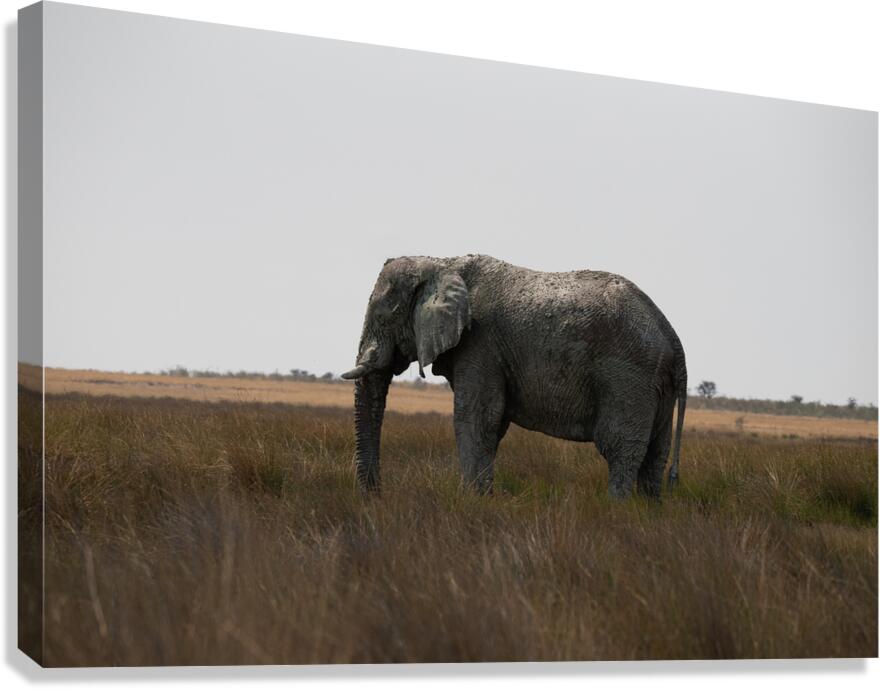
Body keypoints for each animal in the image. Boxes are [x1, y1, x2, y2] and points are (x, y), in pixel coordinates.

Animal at [342, 254, 687, 499]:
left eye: (384, 315)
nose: (377, 496)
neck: (442, 263)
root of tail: (671, 335)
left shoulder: (479, 343)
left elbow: (476, 418)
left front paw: (472, 502)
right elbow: (492, 426)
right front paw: (483, 497)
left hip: (628, 377)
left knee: (620, 449)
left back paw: (615, 508)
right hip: (657, 385)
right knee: (655, 455)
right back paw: (646, 511)